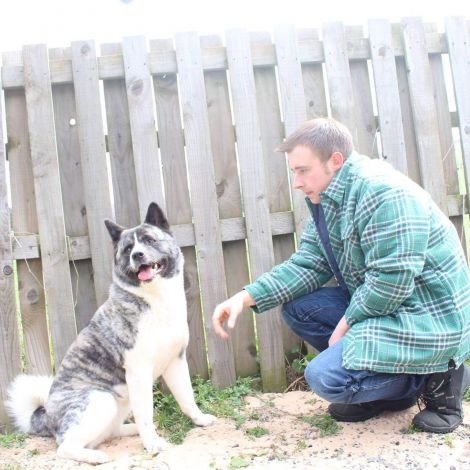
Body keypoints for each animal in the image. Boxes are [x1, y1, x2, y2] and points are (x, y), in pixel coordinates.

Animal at [5, 202, 215, 462]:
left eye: (149, 240)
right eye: (127, 249)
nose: (137, 255)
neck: (155, 298)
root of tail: (46, 417)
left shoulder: (175, 362)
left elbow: (186, 398)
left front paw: (199, 419)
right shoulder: (138, 373)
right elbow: (146, 414)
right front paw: (152, 444)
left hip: (120, 403)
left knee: (110, 431)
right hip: (102, 400)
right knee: (64, 446)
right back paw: (94, 456)